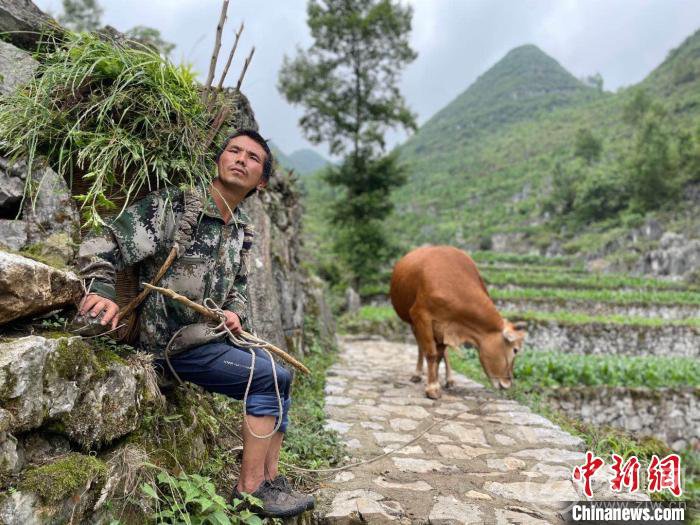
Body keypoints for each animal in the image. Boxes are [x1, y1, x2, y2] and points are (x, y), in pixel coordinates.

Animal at [388, 246, 524, 398]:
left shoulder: (445, 327)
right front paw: (432, 387)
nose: (508, 383)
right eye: (515, 350)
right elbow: (431, 353)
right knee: (420, 346)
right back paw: (417, 374)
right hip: (414, 323)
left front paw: (435, 382)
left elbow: (439, 355)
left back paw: (449, 379)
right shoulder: (421, 316)